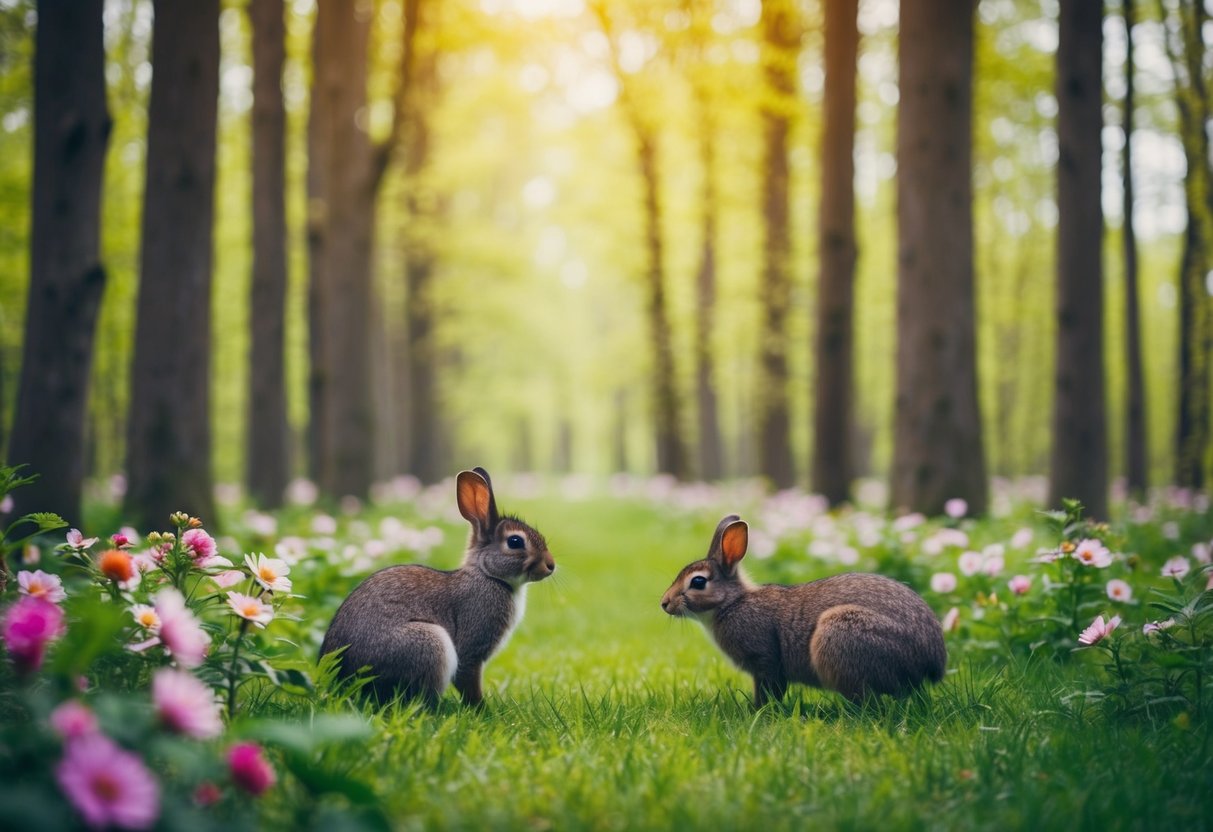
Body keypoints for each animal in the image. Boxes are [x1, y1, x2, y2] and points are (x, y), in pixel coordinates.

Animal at [317, 465, 555, 708]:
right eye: (515, 542)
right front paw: (481, 709)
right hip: (428, 643)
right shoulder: (472, 644)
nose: (551, 565)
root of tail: (342, 680)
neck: (489, 575)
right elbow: (467, 674)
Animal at [659, 519, 941, 708]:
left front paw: (758, 711)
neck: (731, 603)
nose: (664, 603)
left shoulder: (765, 661)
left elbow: (770, 688)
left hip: (840, 635)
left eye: (698, 582)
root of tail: (930, 662)